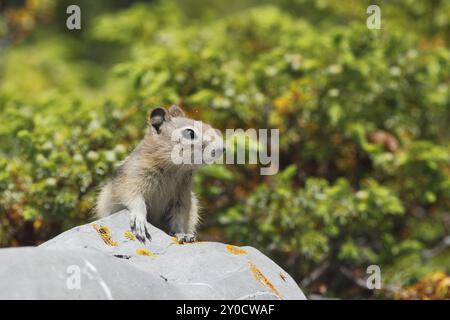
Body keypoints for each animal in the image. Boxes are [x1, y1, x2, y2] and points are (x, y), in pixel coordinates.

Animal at [98, 105, 225, 242]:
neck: (174, 168)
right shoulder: (131, 178)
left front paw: (181, 234)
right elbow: (133, 198)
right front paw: (139, 219)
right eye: (190, 133)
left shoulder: (182, 197)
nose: (223, 148)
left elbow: (179, 218)